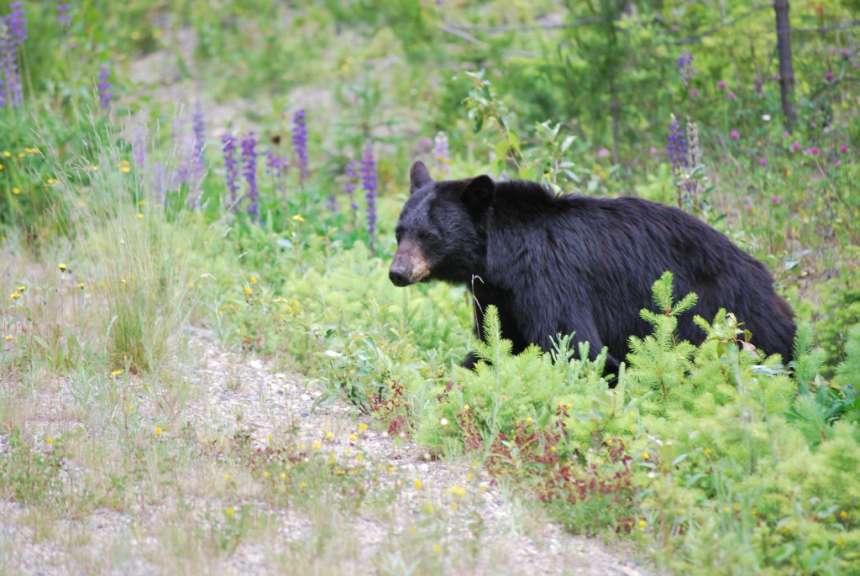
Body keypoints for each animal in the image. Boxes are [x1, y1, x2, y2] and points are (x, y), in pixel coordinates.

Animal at [389, 161, 796, 375]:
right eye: (399, 231)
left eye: (428, 235)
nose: (397, 272)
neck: (502, 257)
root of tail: (767, 279)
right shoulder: (496, 293)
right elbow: (497, 339)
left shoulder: (549, 277)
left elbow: (571, 342)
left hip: (724, 310)